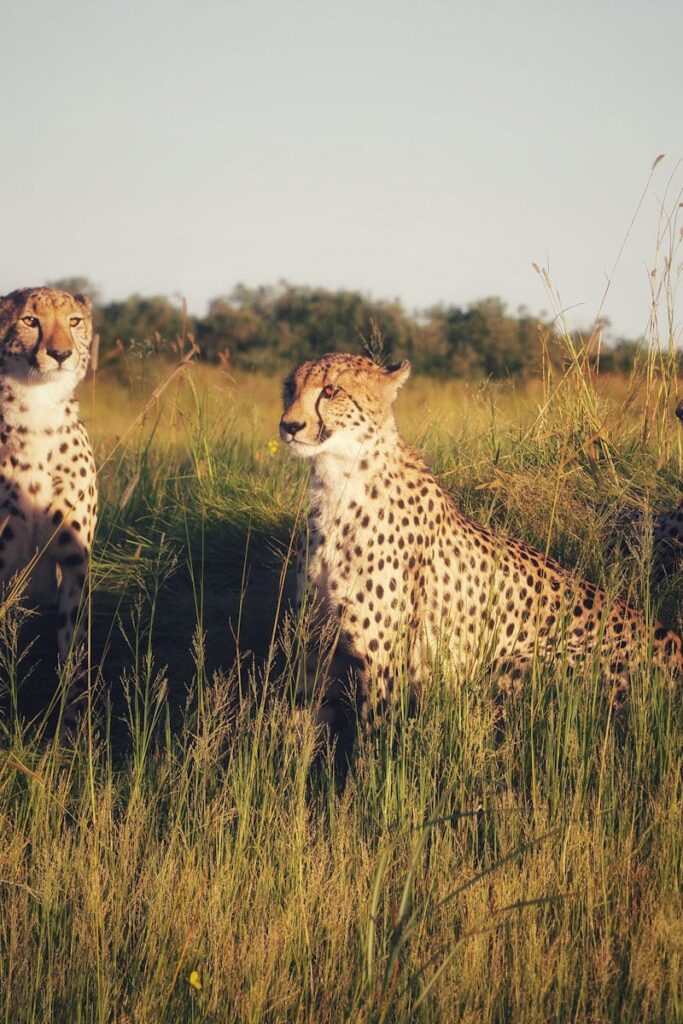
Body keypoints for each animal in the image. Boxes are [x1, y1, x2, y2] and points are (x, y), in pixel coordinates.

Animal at [278, 352, 683, 729]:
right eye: (289, 388)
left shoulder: (383, 668)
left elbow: (369, 747)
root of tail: (671, 637)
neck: (337, 481)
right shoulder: (313, 648)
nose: (289, 425)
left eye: (331, 390)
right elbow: (298, 736)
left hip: (512, 666)